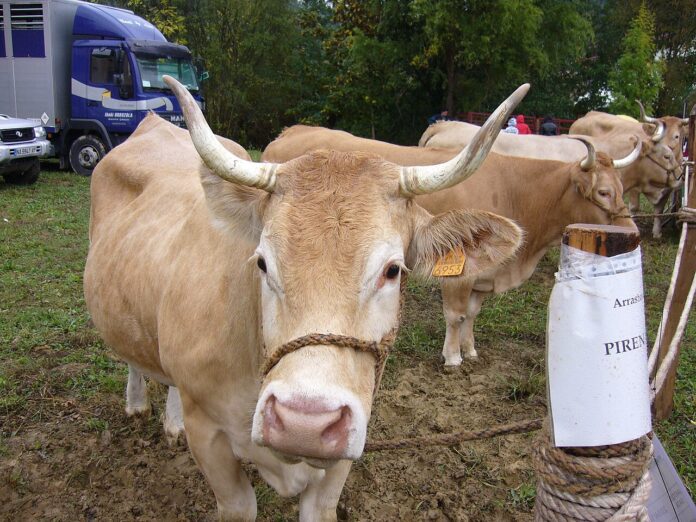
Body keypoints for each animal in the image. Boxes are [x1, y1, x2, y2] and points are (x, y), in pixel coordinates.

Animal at [83, 77, 527, 521]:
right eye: (262, 262)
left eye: (393, 270)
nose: (304, 424)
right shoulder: (208, 435)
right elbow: (239, 504)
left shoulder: (345, 448)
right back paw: (137, 402)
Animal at [262, 126, 639, 365]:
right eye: (603, 192)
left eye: (623, 188)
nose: (632, 230)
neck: (515, 190)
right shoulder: (457, 277)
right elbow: (455, 315)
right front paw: (453, 356)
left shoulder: (482, 274)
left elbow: (471, 314)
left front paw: (470, 350)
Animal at [570, 103, 688, 238]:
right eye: (666, 156)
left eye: (676, 136)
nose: (682, 176)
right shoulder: (635, 188)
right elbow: (634, 208)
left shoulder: (668, 188)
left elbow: (659, 210)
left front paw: (657, 232)